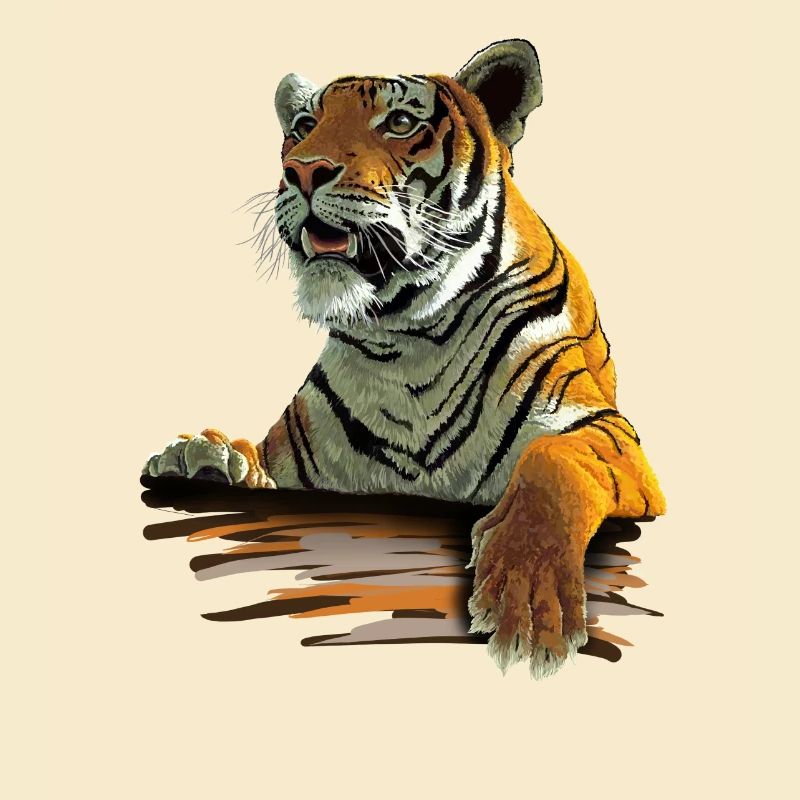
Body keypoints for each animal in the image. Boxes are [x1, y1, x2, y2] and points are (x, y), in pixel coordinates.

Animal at [144, 39, 666, 679]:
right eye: (304, 126)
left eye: (398, 123)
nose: (303, 170)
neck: (407, 342)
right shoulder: (297, 467)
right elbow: (253, 460)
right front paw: (200, 457)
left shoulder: (604, 431)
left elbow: (553, 465)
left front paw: (527, 604)